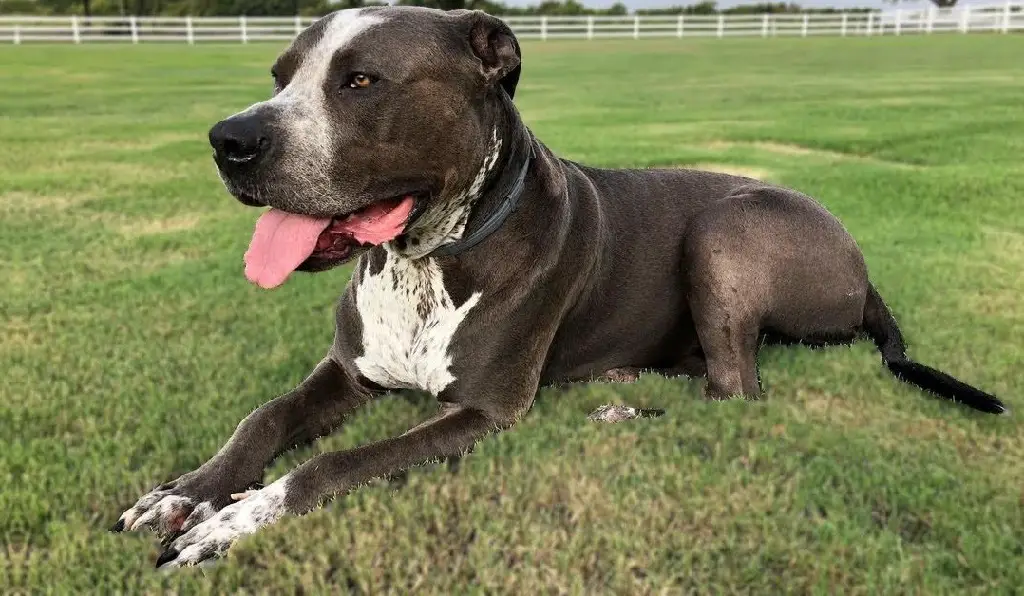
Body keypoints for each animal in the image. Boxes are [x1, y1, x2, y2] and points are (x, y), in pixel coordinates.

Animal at [108, 7, 1003, 573]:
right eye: (281, 74)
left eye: (361, 81)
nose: (229, 140)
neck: (425, 259)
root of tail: (864, 269)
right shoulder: (349, 373)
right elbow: (262, 419)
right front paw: (185, 494)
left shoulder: (484, 412)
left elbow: (333, 465)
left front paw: (236, 521)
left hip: (728, 226)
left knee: (737, 392)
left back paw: (621, 413)